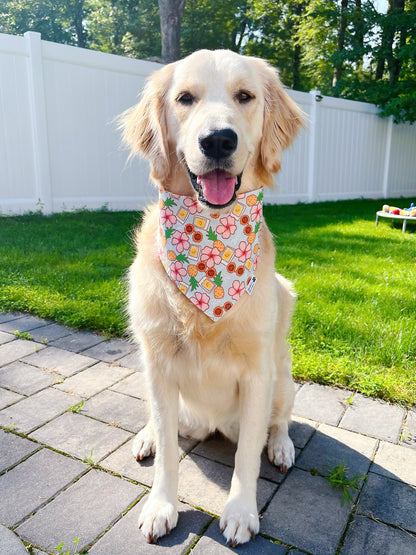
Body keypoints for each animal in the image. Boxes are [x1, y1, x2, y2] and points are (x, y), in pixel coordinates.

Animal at [120, 50, 302, 544]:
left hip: (283, 377)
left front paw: (240, 511)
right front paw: (161, 505)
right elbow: (167, 452)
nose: (218, 140)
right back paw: (146, 435)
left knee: (279, 421)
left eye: (245, 96)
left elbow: (247, 458)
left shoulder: (258, 374)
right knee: (161, 425)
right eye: (185, 98)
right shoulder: (159, 365)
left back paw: (282, 446)